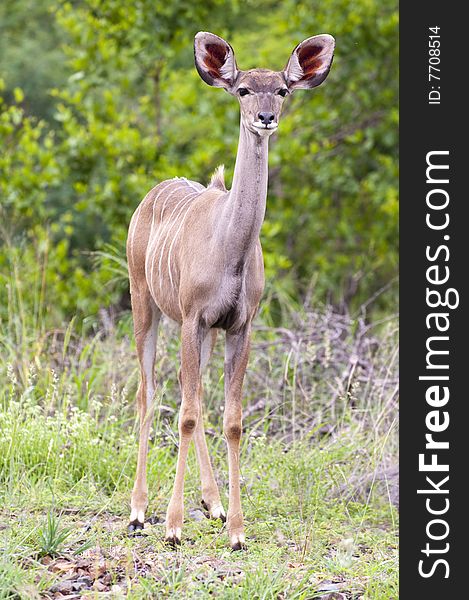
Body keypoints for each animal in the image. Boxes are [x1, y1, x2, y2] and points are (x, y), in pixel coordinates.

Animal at [126, 31, 334, 548]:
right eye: (242, 90)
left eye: (281, 89)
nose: (265, 118)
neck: (229, 250)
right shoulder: (193, 316)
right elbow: (184, 413)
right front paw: (173, 527)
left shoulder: (238, 325)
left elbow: (232, 419)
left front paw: (236, 530)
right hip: (145, 302)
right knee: (149, 392)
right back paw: (138, 513)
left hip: (198, 330)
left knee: (192, 393)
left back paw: (213, 504)